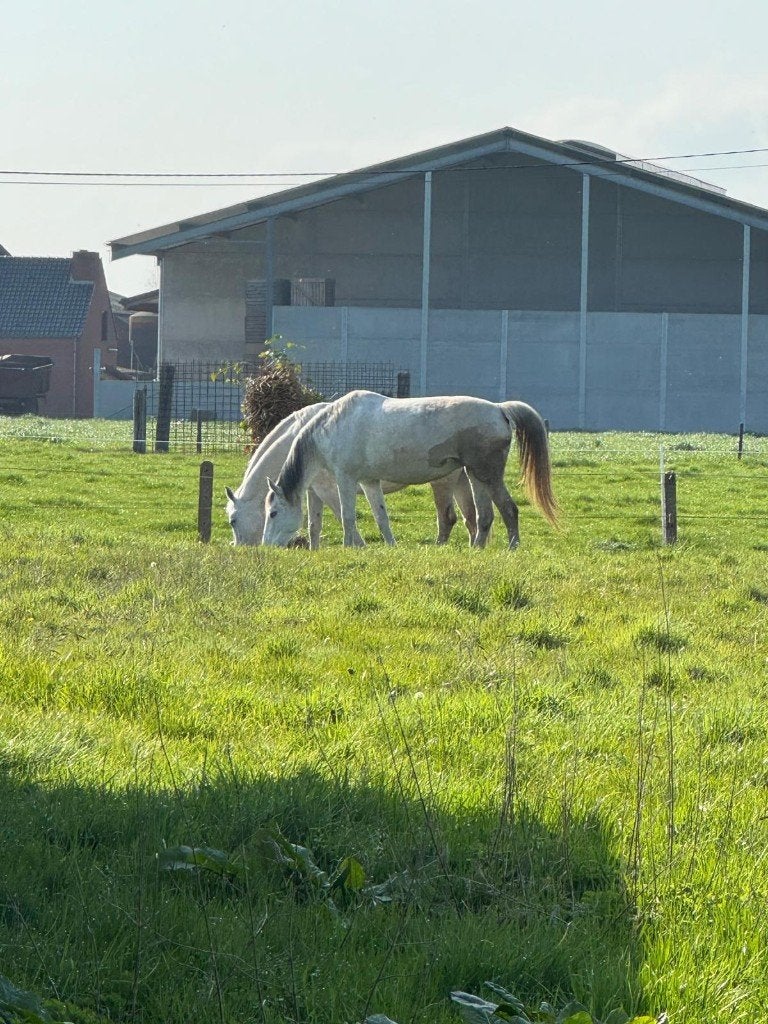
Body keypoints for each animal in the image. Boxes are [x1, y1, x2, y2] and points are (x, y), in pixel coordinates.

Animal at [225, 403, 478, 549]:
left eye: (233, 521)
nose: (241, 548)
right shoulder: (313, 491)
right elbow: (314, 524)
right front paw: (314, 550)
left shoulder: (331, 488)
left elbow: (342, 516)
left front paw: (359, 546)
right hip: (463, 482)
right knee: (471, 518)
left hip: (443, 482)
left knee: (447, 518)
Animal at [262, 390, 558, 550]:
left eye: (273, 512)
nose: (265, 546)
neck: (333, 426)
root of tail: (499, 410)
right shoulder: (369, 481)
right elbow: (381, 516)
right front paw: (390, 546)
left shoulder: (345, 479)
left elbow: (347, 516)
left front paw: (348, 547)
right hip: (475, 476)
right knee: (484, 516)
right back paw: (476, 549)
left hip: (488, 474)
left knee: (509, 509)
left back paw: (512, 548)